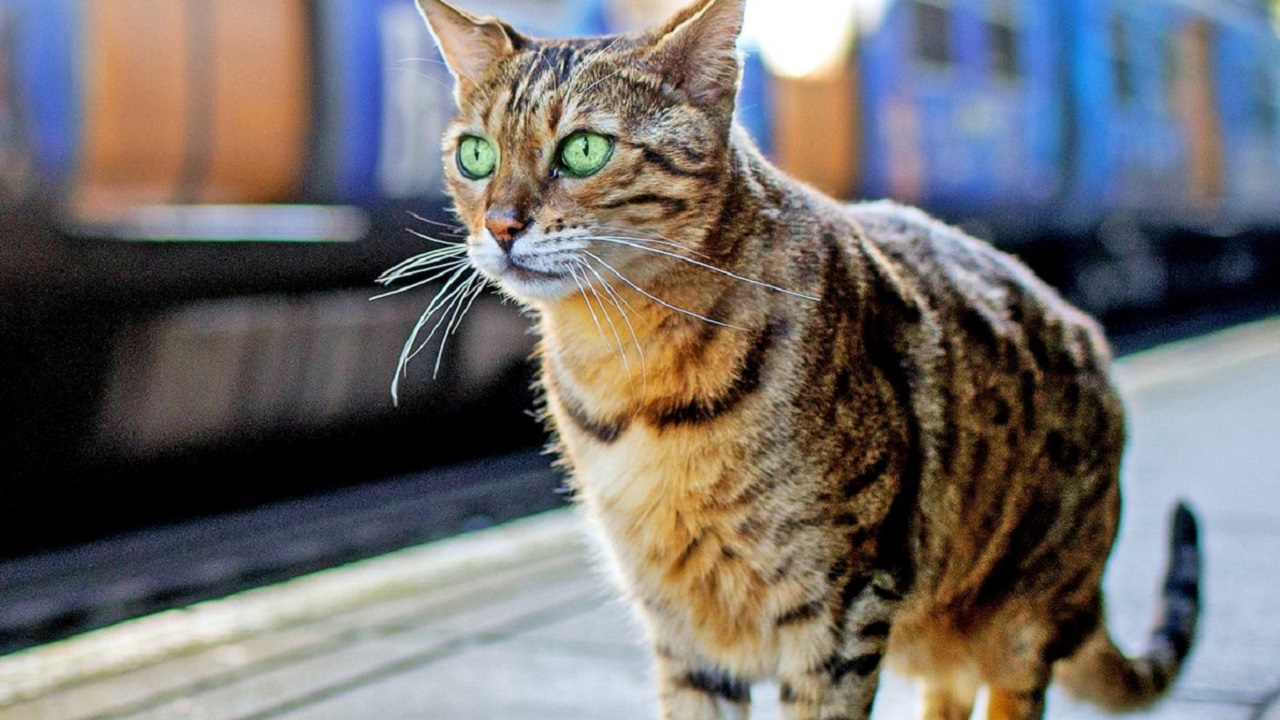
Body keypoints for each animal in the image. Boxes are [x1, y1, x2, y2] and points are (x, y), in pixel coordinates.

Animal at [399, 1, 1198, 717]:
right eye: (477, 156)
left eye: (584, 150)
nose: (501, 225)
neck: (630, 369)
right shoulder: (682, 625)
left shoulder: (840, 604)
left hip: (1019, 619)